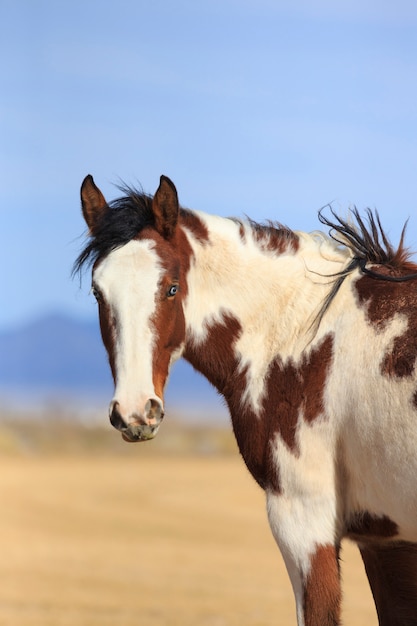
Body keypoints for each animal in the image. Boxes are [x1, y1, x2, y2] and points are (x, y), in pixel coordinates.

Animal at [74, 174, 416, 624]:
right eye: (99, 294)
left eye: (171, 288)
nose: (135, 412)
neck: (304, 331)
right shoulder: (386, 538)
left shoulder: (305, 522)